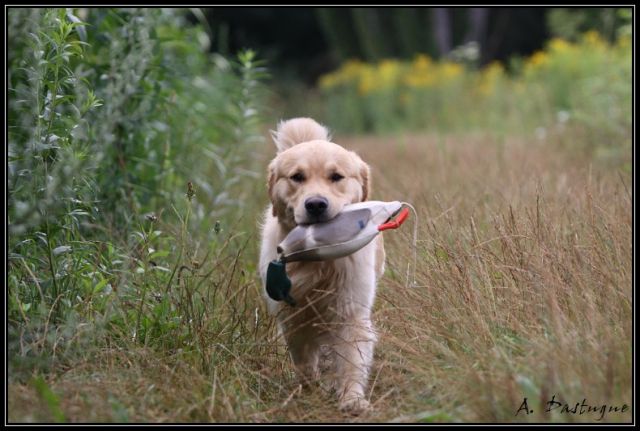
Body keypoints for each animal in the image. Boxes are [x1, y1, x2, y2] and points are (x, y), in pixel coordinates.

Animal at [258, 116, 384, 414]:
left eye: (336, 177)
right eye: (297, 177)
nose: (316, 204)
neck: (318, 259)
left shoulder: (350, 308)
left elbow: (351, 357)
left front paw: (352, 398)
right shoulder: (293, 315)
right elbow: (303, 358)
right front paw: (308, 389)